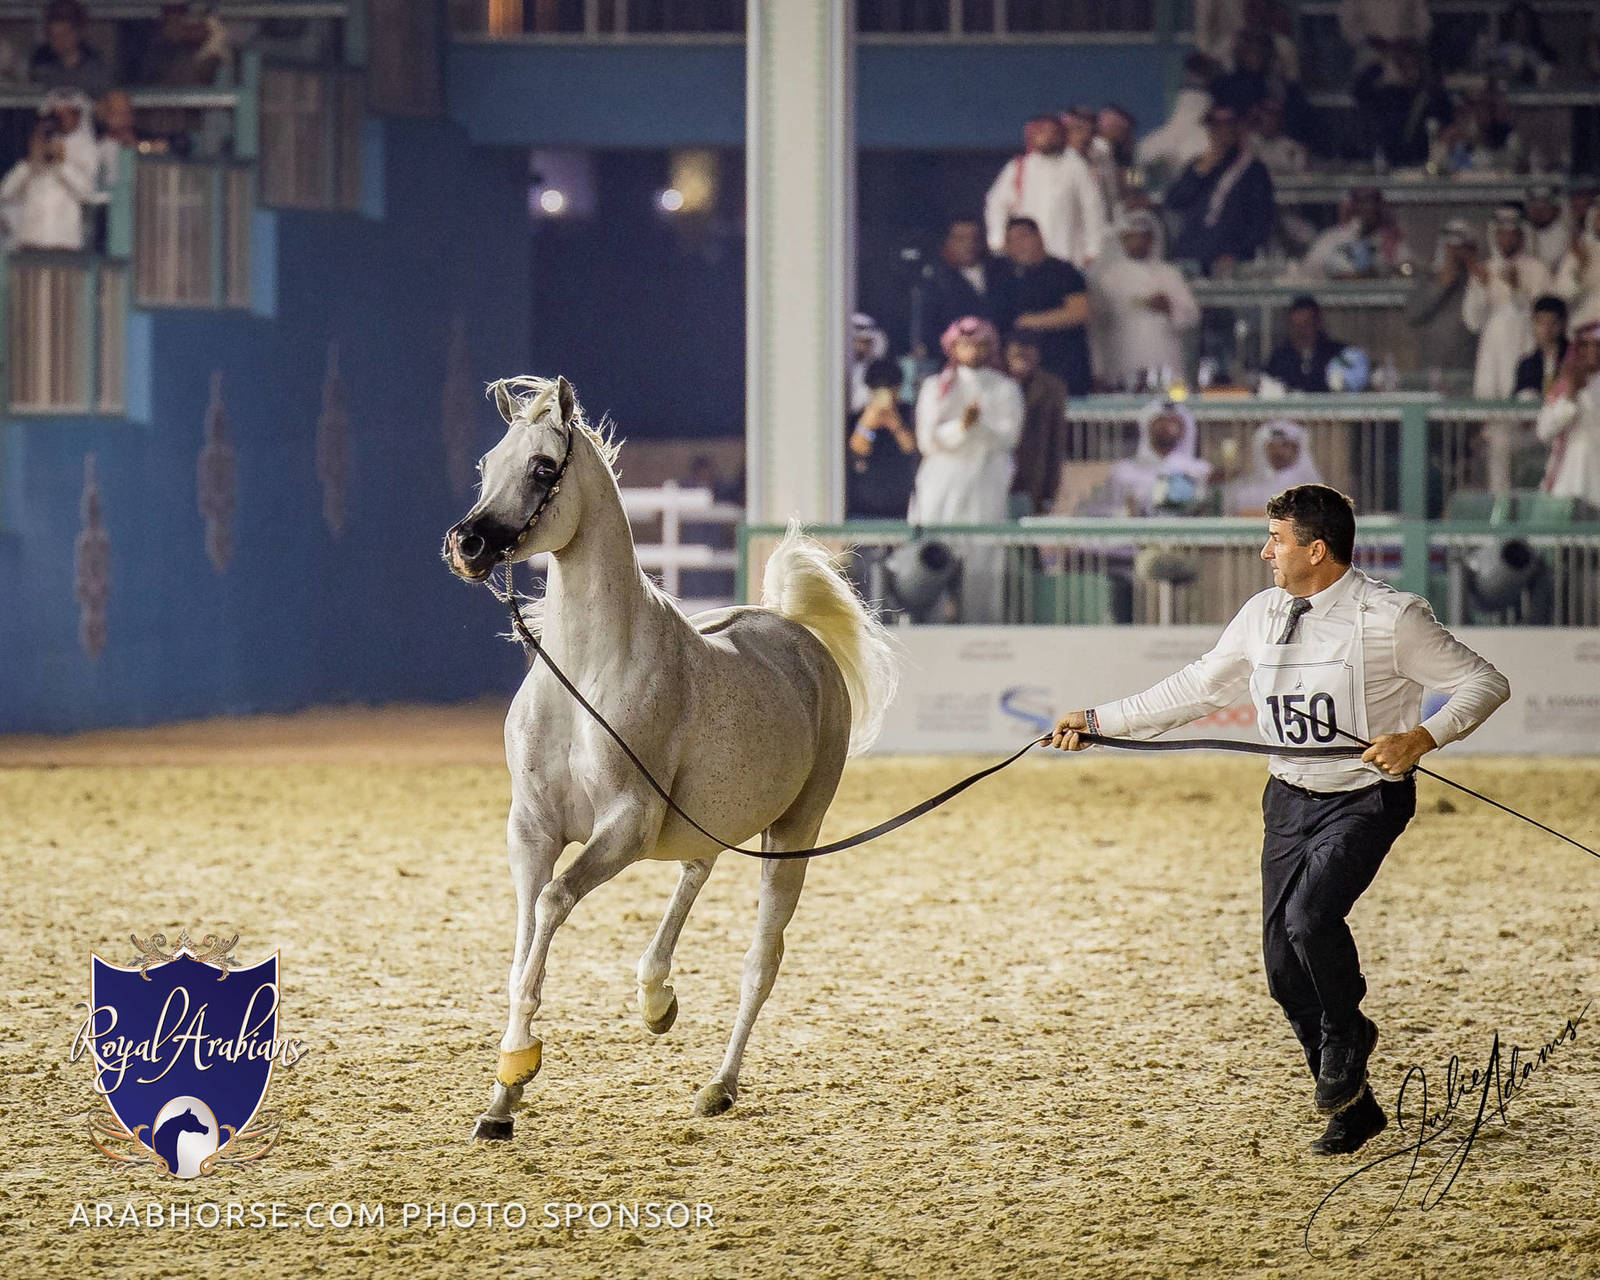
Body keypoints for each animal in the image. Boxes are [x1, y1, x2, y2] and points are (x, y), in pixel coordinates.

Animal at [443, 375, 899, 1140]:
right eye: (486, 465)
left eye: (542, 466)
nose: (467, 545)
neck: (585, 675)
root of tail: (796, 635)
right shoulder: (530, 828)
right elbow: (524, 939)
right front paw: (502, 1102)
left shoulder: (626, 824)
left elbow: (555, 902)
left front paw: (518, 1067)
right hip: (702, 823)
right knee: (695, 871)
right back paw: (656, 997)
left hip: (793, 834)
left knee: (761, 960)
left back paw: (719, 1084)